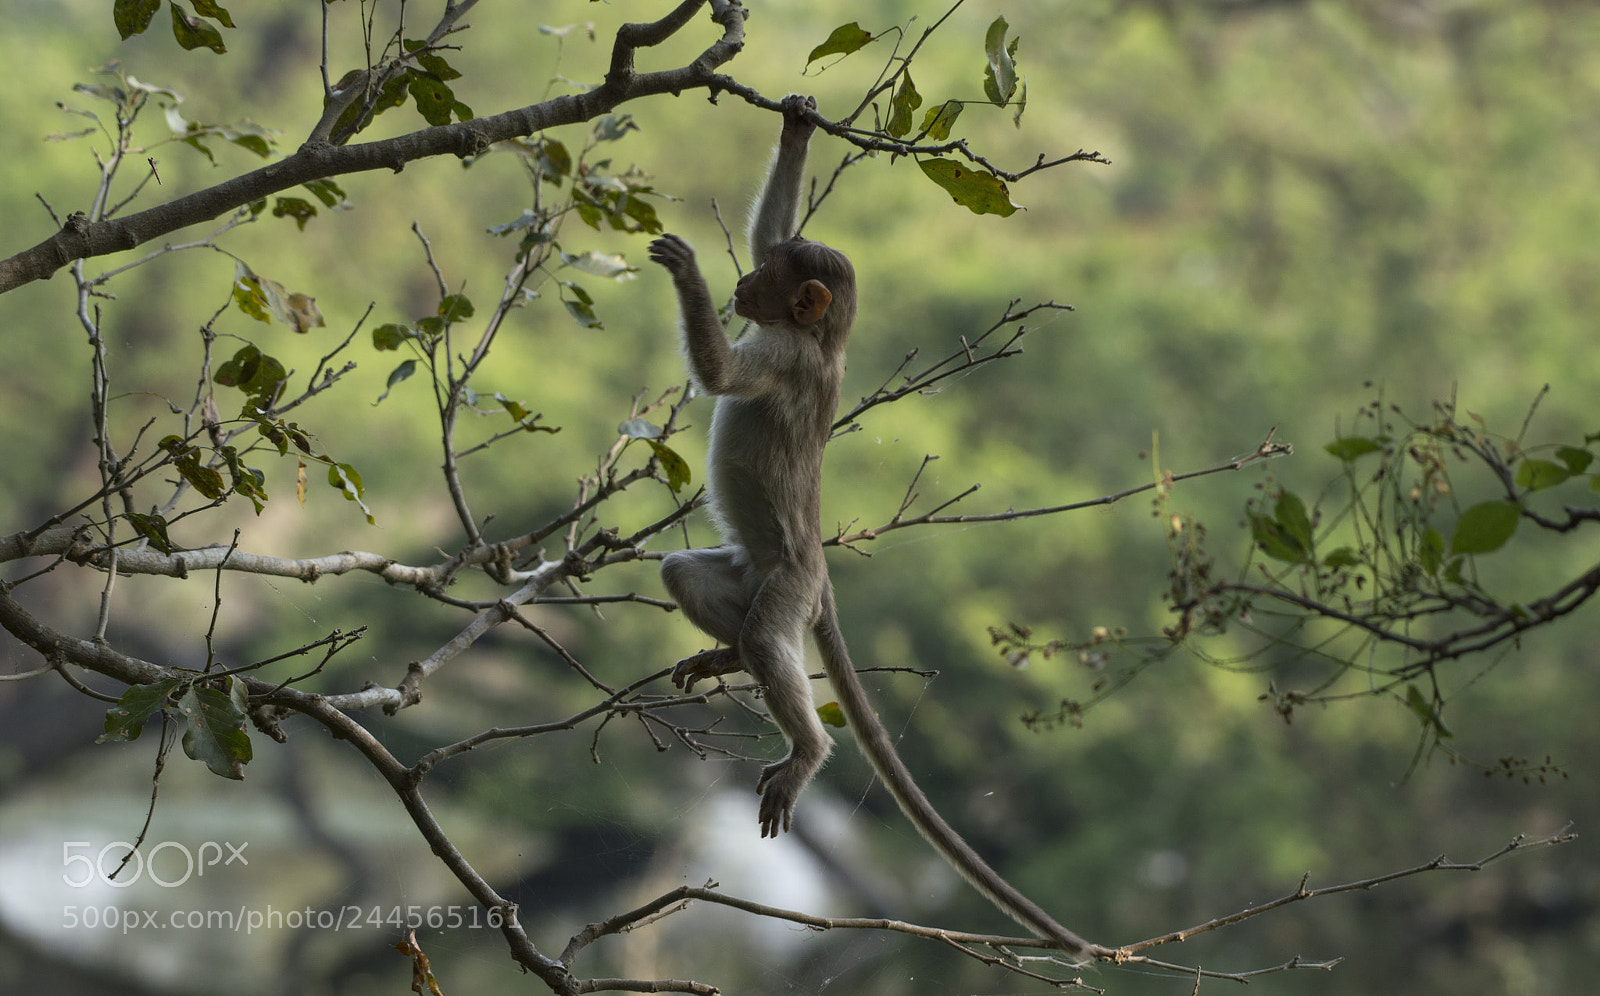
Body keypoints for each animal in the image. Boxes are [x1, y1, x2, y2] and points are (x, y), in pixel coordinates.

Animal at [647, 95, 1093, 958]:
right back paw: (727, 656)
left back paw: (804, 746)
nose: (742, 281)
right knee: (691, 578)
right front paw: (796, 126)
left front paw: (685, 271)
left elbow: (720, 375)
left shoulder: (782, 357)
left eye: (765, 282)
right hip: (754, 574)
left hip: (787, 584)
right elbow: (773, 219)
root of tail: (817, 576)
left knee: (769, 638)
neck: (817, 340)